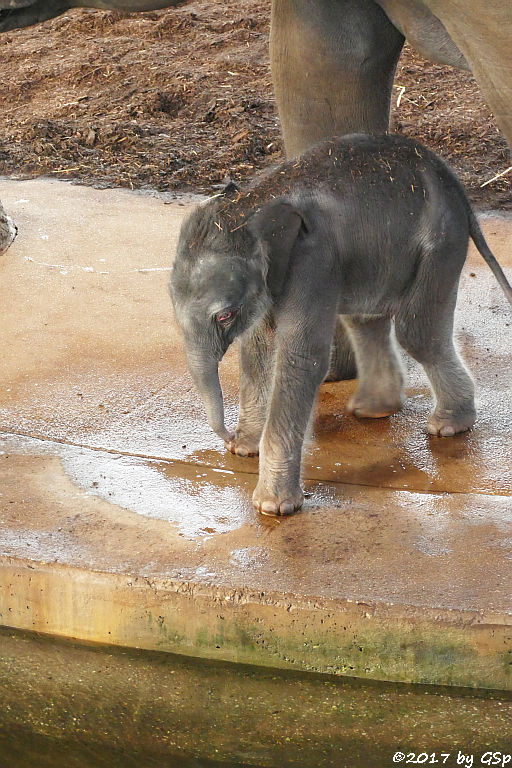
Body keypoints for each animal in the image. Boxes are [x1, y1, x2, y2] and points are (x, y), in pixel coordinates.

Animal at [170, 134, 510, 516]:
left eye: (224, 315)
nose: (227, 438)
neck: (254, 202)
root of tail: (456, 185)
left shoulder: (313, 261)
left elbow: (301, 359)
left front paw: (273, 507)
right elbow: (257, 352)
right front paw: (245, 449)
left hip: (441, 245)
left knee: (417, 332)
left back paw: (448, 426)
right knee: (365, 319)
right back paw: (374, 410)